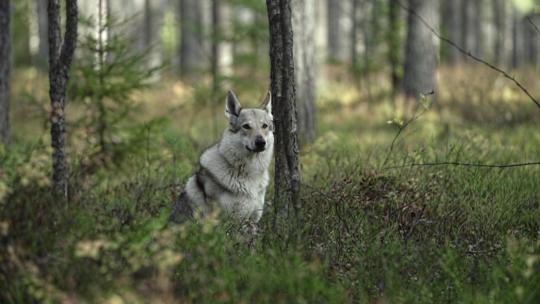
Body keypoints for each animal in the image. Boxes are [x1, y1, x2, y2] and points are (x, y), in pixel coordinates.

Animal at [171, 89, 274, 224]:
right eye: (246, 126)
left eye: (264, 126)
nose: (261, 142)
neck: (250, 173)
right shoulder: (231, 221)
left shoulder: (253, 220)